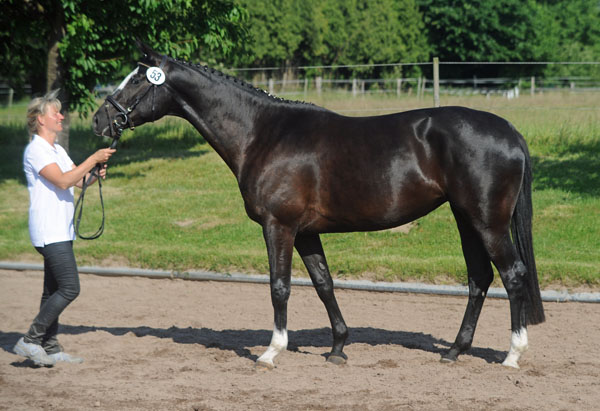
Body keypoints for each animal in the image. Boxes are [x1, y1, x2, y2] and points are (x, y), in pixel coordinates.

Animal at [92, 41, 544, 370]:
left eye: (137, 81)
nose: (99, 121)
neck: (262, 134)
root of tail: (509, 130)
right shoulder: (307, 232)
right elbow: (324, 284)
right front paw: (338, 348)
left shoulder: (279, 226)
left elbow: (279, 287)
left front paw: (271, 351)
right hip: (466, 218)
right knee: (479, 279)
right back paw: (454, 351)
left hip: (487, 222)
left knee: (513, 275)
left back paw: (512, 355)